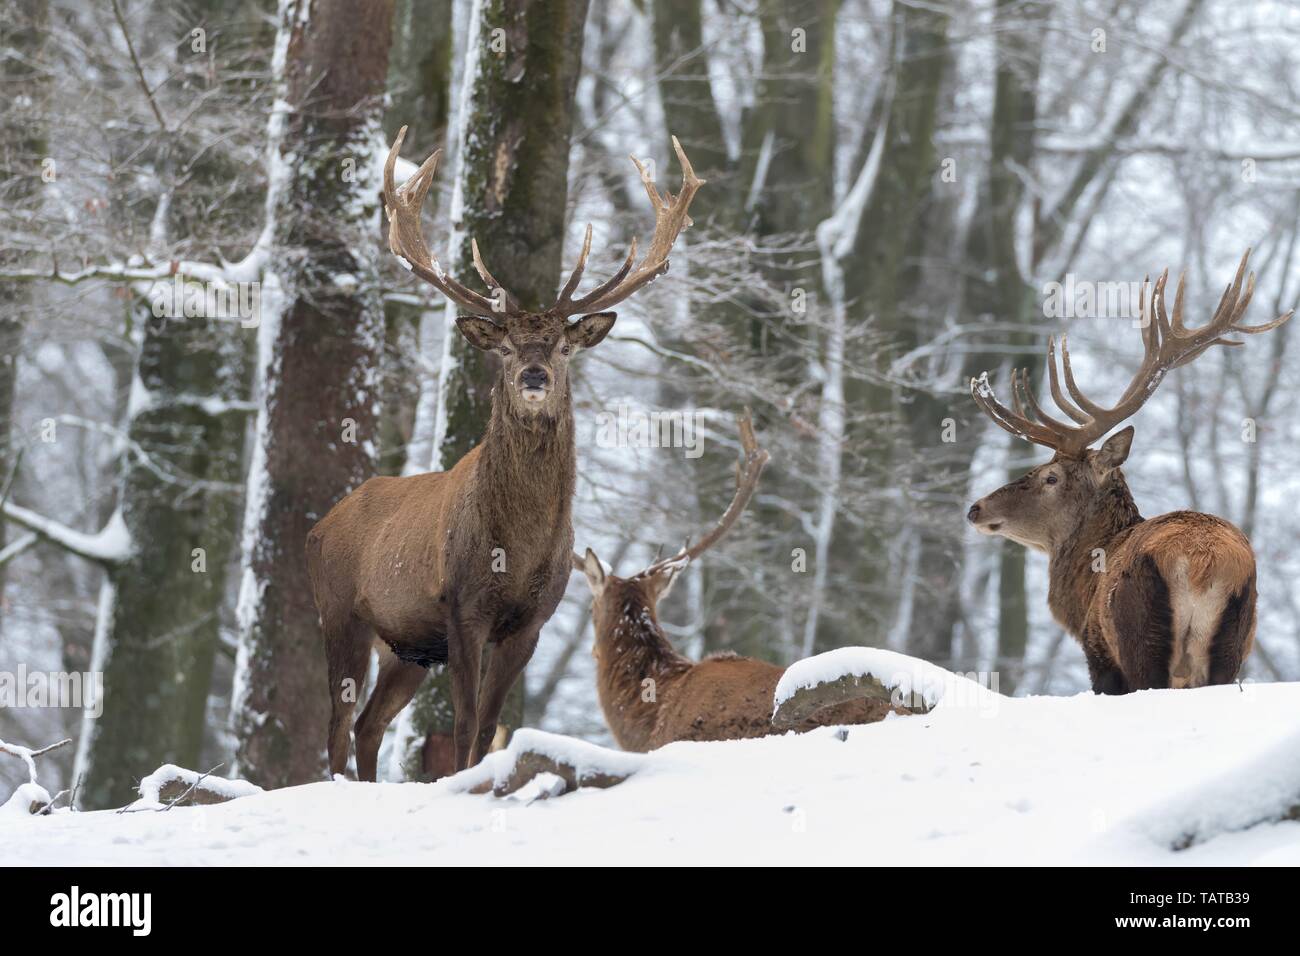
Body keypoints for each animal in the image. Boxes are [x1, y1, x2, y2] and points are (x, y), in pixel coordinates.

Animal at [305, 125, 707, 780]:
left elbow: (492, 724)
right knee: (337, 726)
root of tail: (320, 525)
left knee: (369, 725)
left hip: (407, 646)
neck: (514, 551)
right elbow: (467, 723)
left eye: (565, 347)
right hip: (340, 611)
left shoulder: (531, 621)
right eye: (508, 347)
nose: (535, 375)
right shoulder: (463, 606)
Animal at [967, 251, 1289, 691]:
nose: (976, 508)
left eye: (1051, 476)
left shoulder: (1099, 655)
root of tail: (1204, 564)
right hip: (1233, 644)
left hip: (1139, 636)